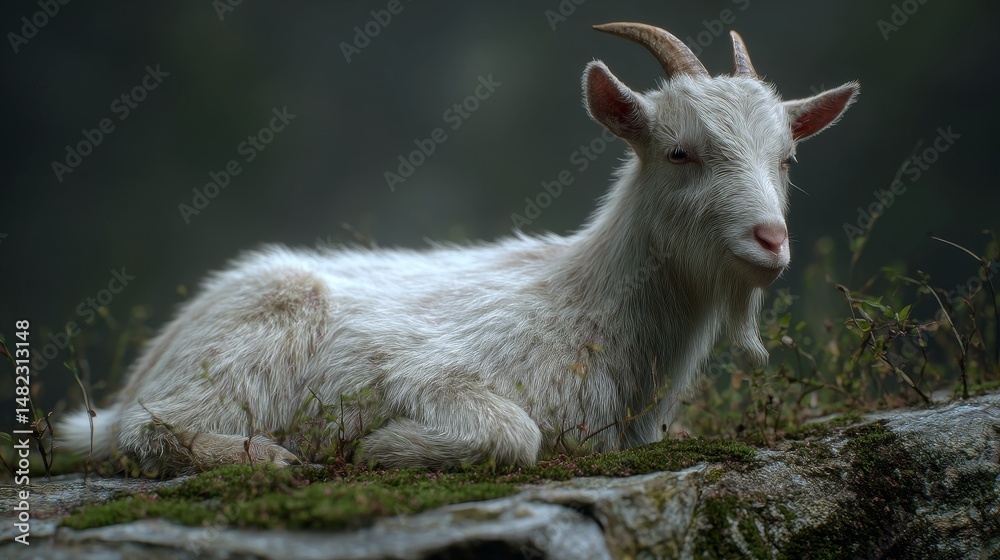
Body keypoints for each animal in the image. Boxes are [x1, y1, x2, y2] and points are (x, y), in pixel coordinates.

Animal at [60, 23, 858, 475]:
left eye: (787, 159)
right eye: (679, 152)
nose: (771, 240)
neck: (581, 298)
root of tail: (155, 356)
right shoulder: (428, 370)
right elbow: (515, 434)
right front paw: (379, 449)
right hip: (237, 355)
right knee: (147, 429)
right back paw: (270, 456)